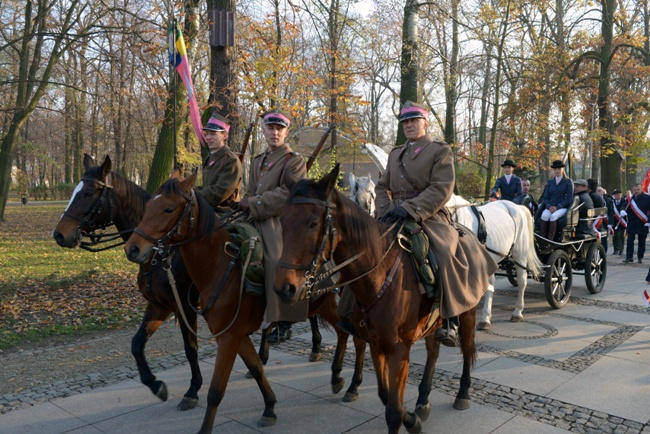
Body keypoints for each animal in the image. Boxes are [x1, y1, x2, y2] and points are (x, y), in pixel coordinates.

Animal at [52, 154, 201, 412]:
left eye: (88, 193)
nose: (59, 234)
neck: (160, 251)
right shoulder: (160, 305)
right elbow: (137, 344)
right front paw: (155, 385)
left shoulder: (185, 307)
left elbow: (190, 348)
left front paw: (193, 390)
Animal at [121, 171, 364, 434]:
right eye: (148, 207)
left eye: (168, 209)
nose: (132, 248)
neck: (220, 267)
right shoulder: (233, 333)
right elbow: (256, 368)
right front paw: (269, 408)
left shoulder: (226, 336)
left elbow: (216, 390)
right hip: (323, 304)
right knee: (342, 332)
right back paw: (337, 377)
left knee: (357, 338)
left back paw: (353, 385)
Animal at [272, 164, 476, 432]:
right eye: (282, 221)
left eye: (313, 223)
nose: (284, 288)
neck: (378, 276)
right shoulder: (376, 343)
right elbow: (385, 395)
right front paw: (412, 419)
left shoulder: (399, 349)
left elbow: (394, 411)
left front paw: (409, 420)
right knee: (433, 350)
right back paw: (423, 400)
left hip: (468, 309)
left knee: (467, 347)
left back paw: (462, 393)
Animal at [446, 195, 540, 328]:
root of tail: (517, 207)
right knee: (491, 284)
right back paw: (485, 318)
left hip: (520, 255)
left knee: (522, 281)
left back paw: (517, 312)